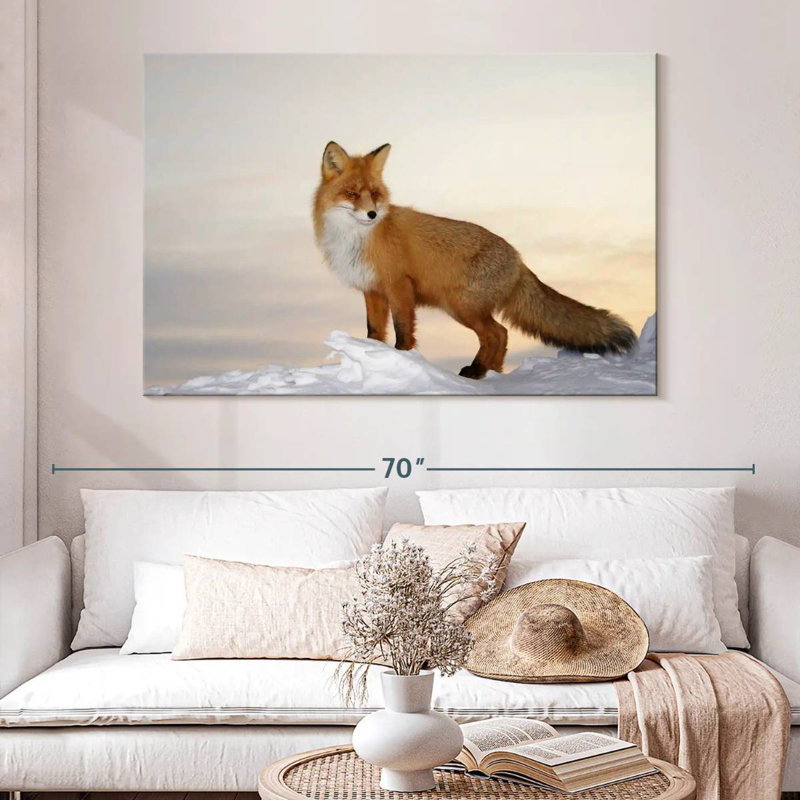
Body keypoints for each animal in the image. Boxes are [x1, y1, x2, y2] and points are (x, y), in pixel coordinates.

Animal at [312, 141, 636, 379]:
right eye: (352, 193)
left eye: (375, 194)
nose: (372, 214)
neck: (357, 239)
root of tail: (518, 258)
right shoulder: (372, 290)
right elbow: (374, 332)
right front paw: (373, 358)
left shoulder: (399, 287)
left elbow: (404, 330)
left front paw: (403, 360)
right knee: (501, 335)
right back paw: (492, 372)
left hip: (462, 306)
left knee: (497, 333)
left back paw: (478, 371)